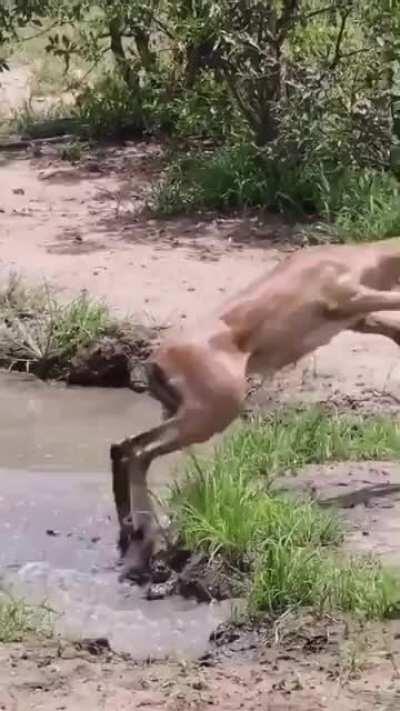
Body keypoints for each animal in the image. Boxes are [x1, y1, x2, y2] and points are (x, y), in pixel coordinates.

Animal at [111, 237, 400, 580]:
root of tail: (155, 362)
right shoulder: (347, 297)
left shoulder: (357, 318)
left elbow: (393, 327)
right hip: (213, 413)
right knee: (133, 448)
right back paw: (139, 541)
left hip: (182, 412)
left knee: (127, 449)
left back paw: (134, 539)